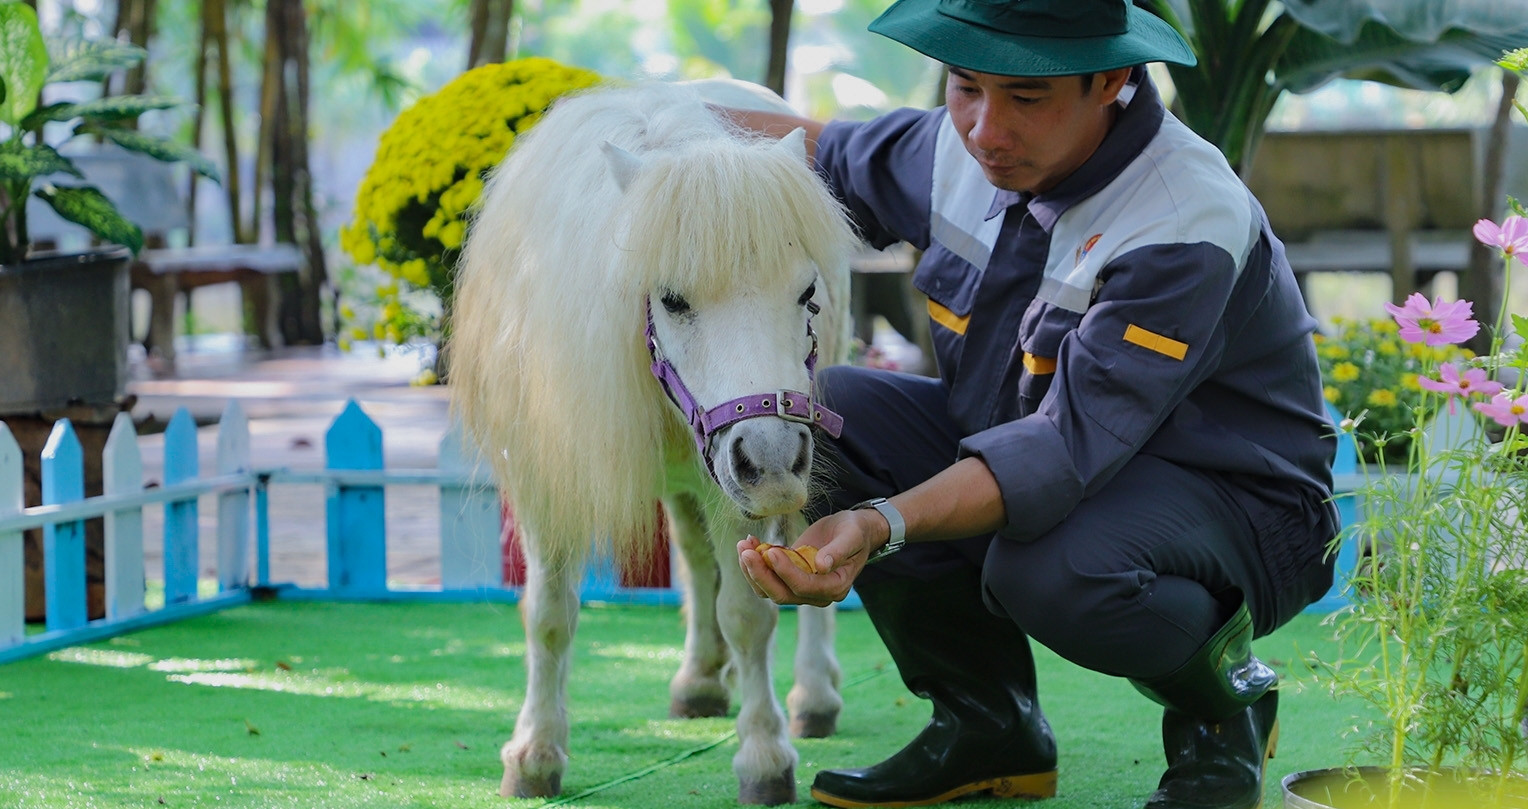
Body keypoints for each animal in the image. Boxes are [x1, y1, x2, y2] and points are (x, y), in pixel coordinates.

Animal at [450, 79, 860, 805]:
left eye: (807, 292)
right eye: (671, 299)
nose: (772, 460)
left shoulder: (737, 485)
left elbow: (750, 612)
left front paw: (764, 757)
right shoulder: (543, 474)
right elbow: (549, 612)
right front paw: (536, 752)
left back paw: (813, 693)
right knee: (696, 561)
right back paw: (700, 678)